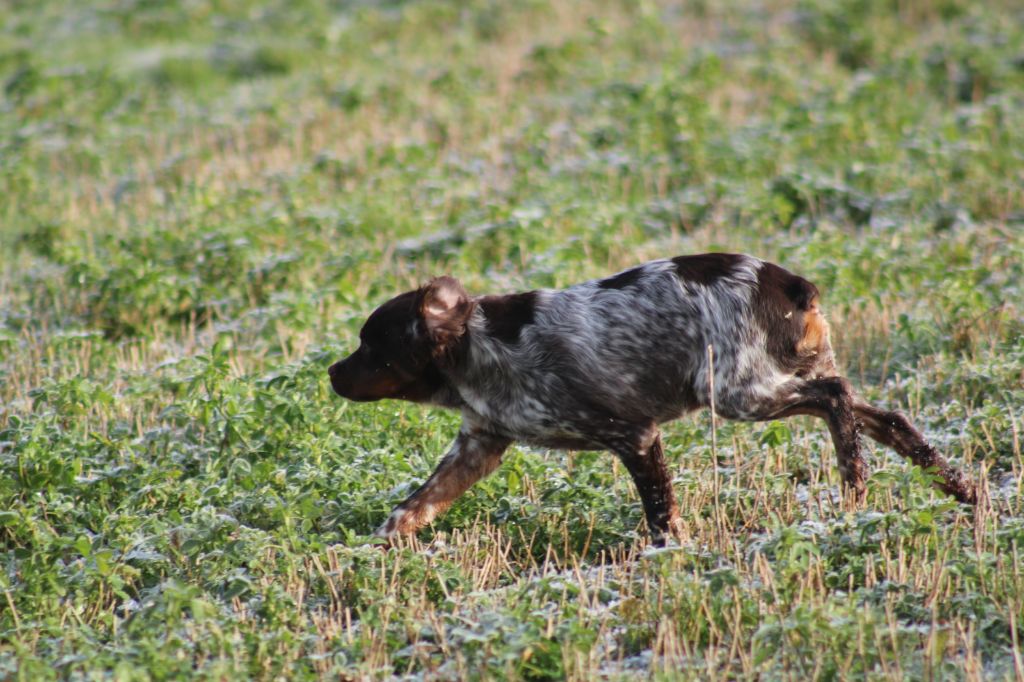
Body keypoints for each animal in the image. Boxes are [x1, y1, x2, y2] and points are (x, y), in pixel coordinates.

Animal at [327, 251, 974, 544]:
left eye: (370, 346)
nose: (331, 373)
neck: (476, 350)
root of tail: (789, 282)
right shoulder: (479, 446)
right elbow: (412, 507)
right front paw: (376, 549)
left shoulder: (634, 434)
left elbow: (661, 514)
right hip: (769, 382)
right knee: (888, 418)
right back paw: (961, 492)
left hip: (738, 392)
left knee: (837, 399)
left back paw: (853, 481)